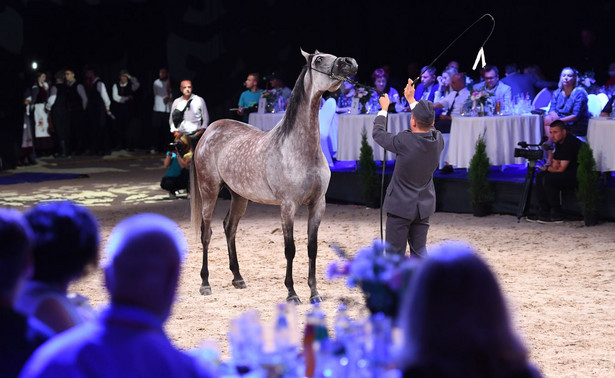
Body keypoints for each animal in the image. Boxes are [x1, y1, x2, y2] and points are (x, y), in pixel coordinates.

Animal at [190, 51, 358, 304]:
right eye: (318, 60)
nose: (350, 63)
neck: (298, 148)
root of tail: (210, 129)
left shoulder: (318, 204)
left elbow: (312, 248)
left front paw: (314, 293)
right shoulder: (287, 206)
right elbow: (290, 249)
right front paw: (292, 293)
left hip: (239, 196)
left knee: (230, 228)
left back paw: (238, 278)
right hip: (209, 191)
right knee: (206, 233)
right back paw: (205, 283)